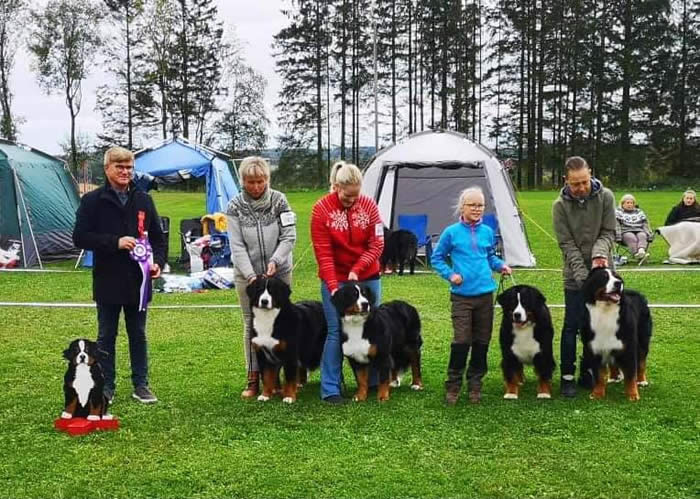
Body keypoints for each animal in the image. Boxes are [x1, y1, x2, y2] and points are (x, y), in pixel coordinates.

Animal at [246, 276, 328, 404]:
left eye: (273, 291)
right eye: (259, 290)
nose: (264, 301)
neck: (268, 319)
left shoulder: (290, 353)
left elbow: (289, 377)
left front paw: (289, 396)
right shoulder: (262, 354)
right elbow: (266, 377)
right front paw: (265, 395)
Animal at [580, 268, 652, 400]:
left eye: (617, 277)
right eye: (604, 277)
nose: (618, 283)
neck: (606, 312)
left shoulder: (628, 347)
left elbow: (630, 374)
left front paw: (633, 395)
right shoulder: (595, 348)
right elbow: (599, 374)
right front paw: (597, 393)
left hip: (643, 340)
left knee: (641, 362)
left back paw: (641, 380)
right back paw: (613, 377)